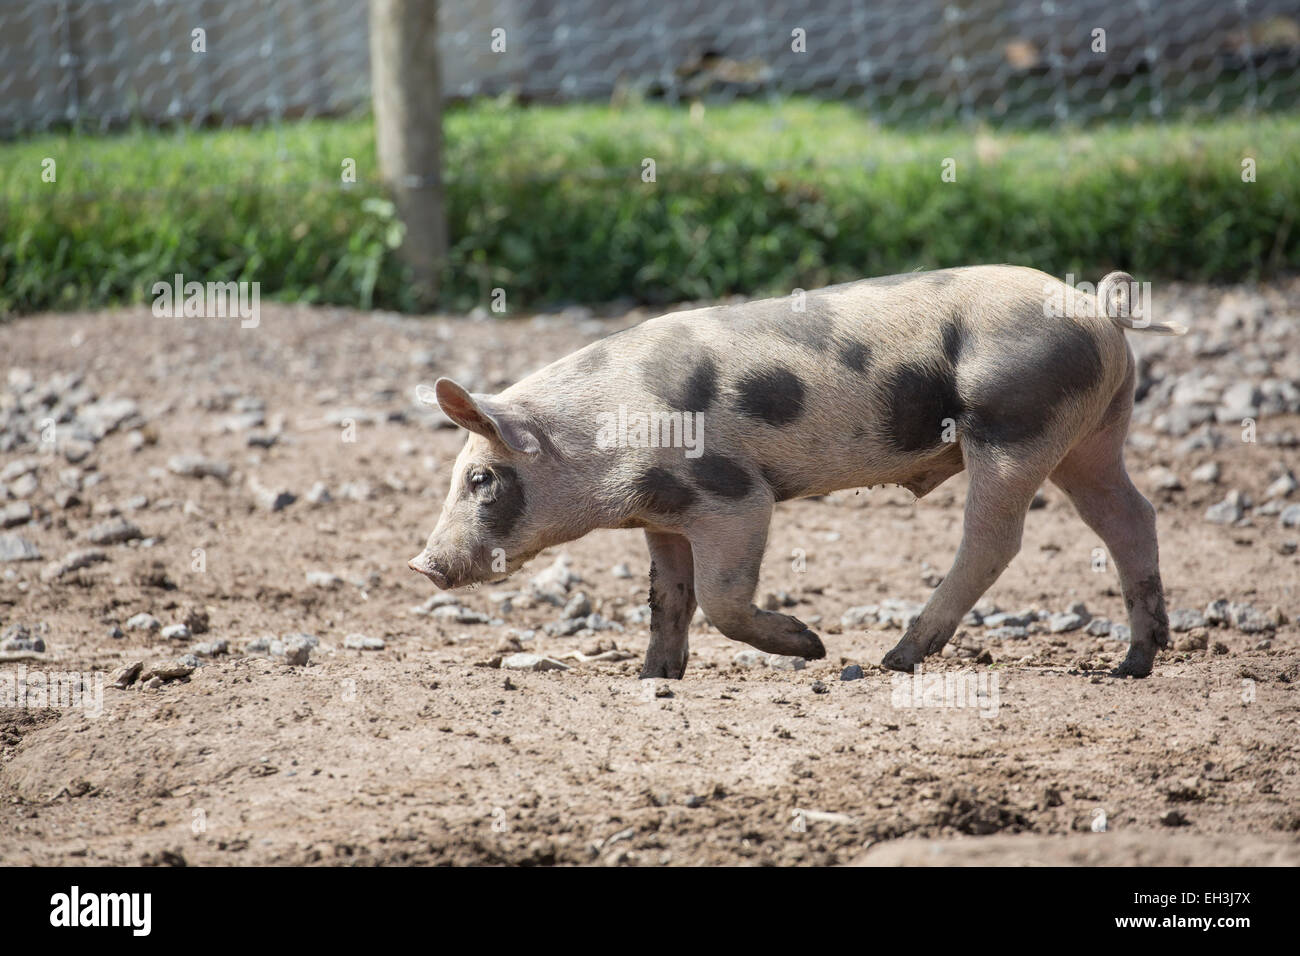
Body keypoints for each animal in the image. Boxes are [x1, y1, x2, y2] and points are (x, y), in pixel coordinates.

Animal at [410, 265, 1185, 676]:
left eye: (481, 480)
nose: (423, 563)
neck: (599, 440)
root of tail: (1098, 309)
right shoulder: (663, 517)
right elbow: (668, 598)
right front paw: (653, 675)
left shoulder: (732, 496)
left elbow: (720, 598)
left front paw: (809, 648)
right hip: (1092, 432)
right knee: (1130, 517)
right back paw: (1132, 663)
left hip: (1014, 426)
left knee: (996, 541)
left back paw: (891, 658)